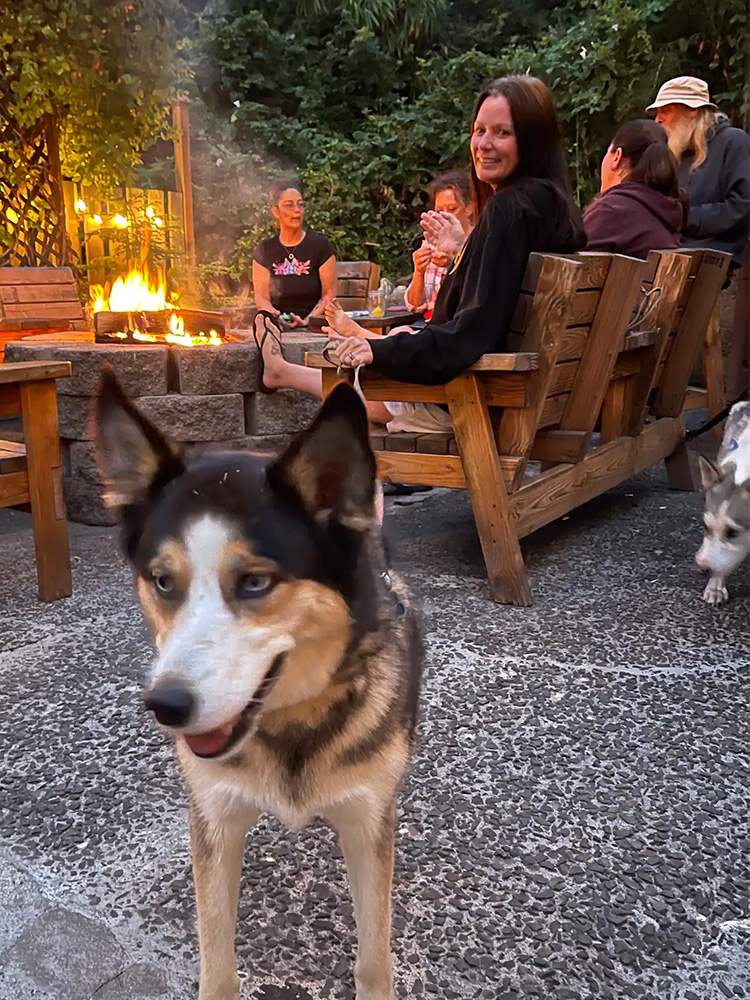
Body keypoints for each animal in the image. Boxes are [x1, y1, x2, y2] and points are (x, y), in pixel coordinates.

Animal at [95, 374, 424, 1000]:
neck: (289, 724)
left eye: (253, 582)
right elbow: (216, 956)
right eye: (163, 582)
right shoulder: (215, 820)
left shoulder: (367, 820)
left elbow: (375, 952)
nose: (166, 706)